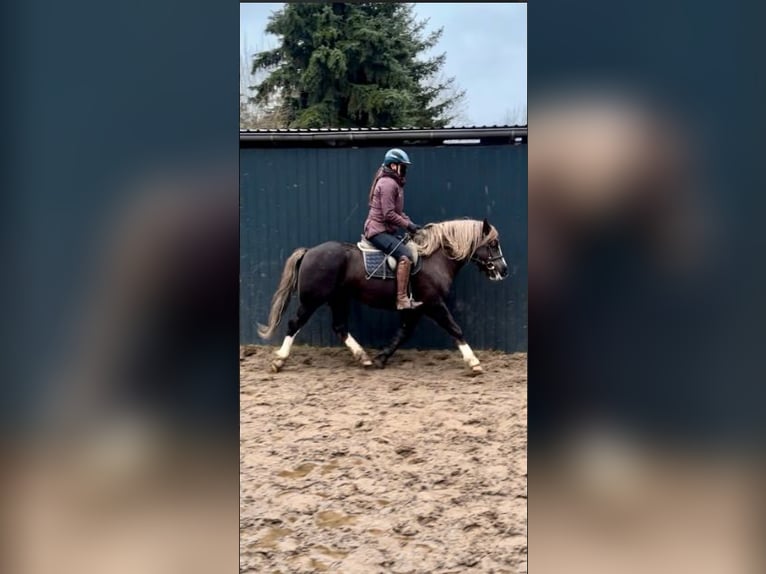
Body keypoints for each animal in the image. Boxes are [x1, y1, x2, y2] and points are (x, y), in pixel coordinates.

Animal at [256, 218, 510, 376]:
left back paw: (363, 357)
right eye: (493, 243)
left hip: (338, 299)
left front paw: (381, 357)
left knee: (340, 327)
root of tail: (309, 251)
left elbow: (403, 334)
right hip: (312, 300)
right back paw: (279, 360)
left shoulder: (415, 308)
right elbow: (455, 329)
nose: (503, 270)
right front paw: (474, 362)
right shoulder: (433, 303)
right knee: (294, 324)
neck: (434, 258)